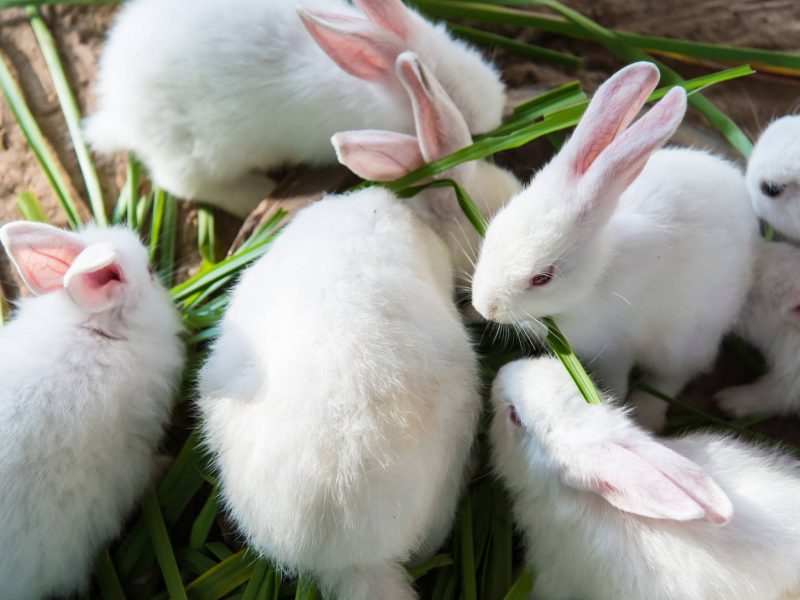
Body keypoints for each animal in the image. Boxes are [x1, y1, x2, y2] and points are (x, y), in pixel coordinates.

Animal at [85, 0, 506, 218]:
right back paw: (257, 194)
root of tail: (117, 111)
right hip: (200, 154)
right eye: (444, 89)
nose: (495, 110)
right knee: (187, 184)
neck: (371, 87)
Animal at [471, 62, 760, 432]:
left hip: (685, 340)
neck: (597, 276)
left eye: (542, 278)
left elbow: (618, 380)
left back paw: (648, 413)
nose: (485, 308)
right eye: (492, 230)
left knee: (673, 377)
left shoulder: (615, 349)